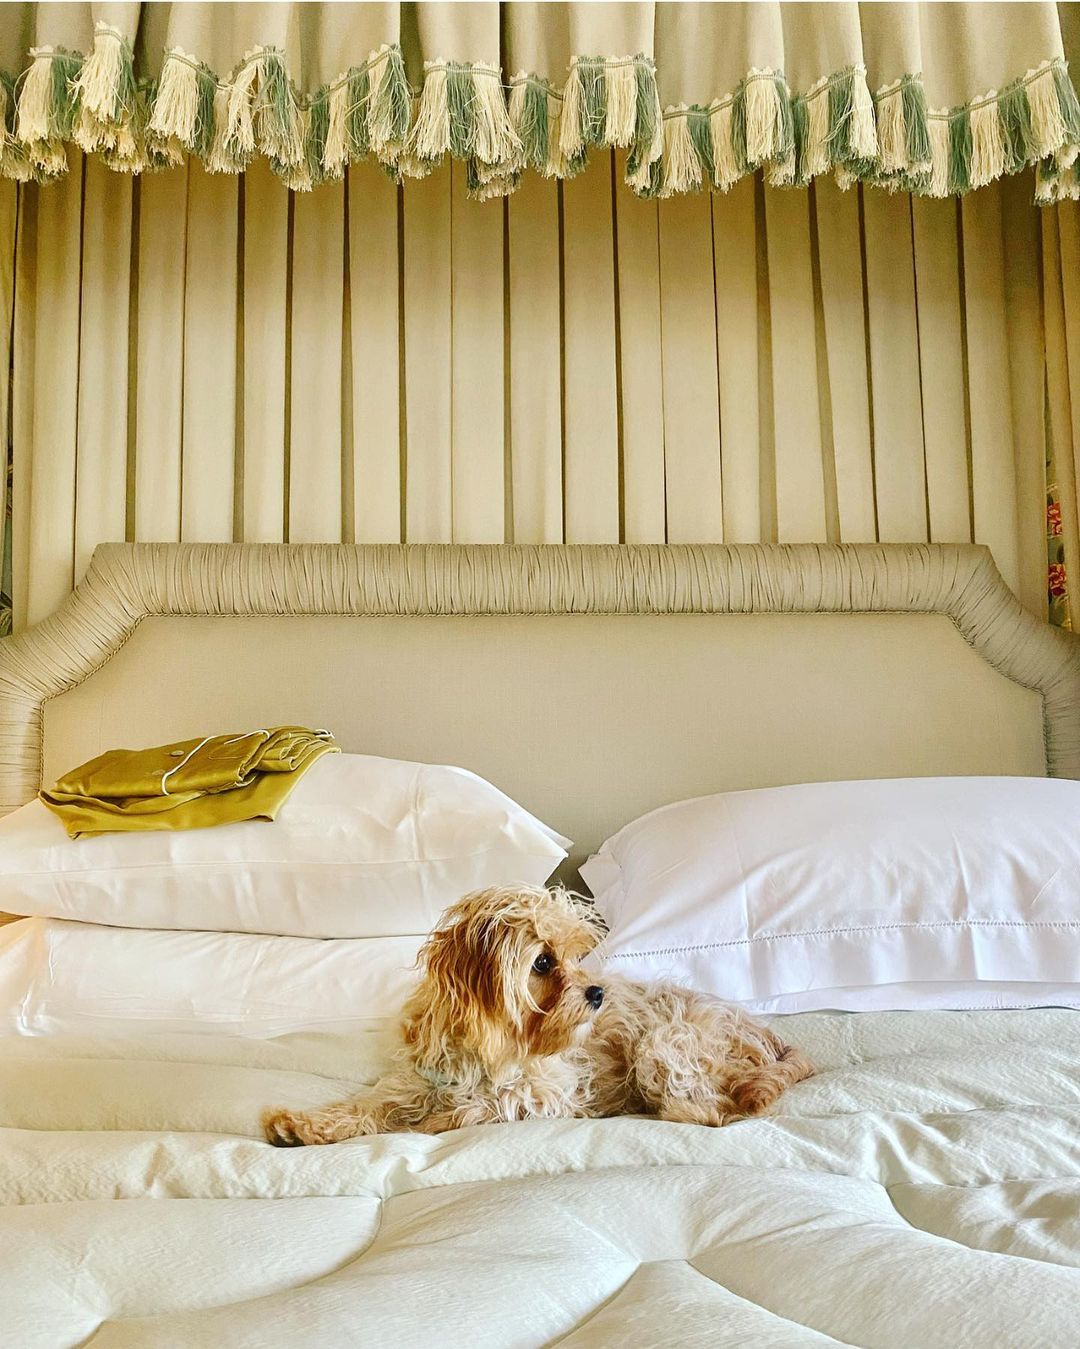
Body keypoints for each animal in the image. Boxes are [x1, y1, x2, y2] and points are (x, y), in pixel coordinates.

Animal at [262, 885, 813, 1145]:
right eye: (544, 962)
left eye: (579, 954)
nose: (597, 993)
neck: (486, 1049)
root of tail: (769, 1035)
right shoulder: (412, 1082)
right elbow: (365, 1105)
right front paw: (303, 1123)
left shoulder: (550, 1092)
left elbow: (488, 1106)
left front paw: (440, 1121)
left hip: (664, 1045)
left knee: (715, 1109)